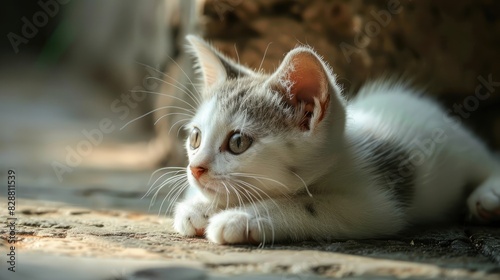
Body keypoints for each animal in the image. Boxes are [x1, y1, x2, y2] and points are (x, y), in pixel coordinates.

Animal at [173, 35, 500, 245]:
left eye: (238, 142)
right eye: (196, 137)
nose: (195, 168)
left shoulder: (376, 205)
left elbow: (308, 205)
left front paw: (240, 219)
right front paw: (199, 207)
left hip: (463, 148)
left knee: (489, 162)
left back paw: (487, 197)